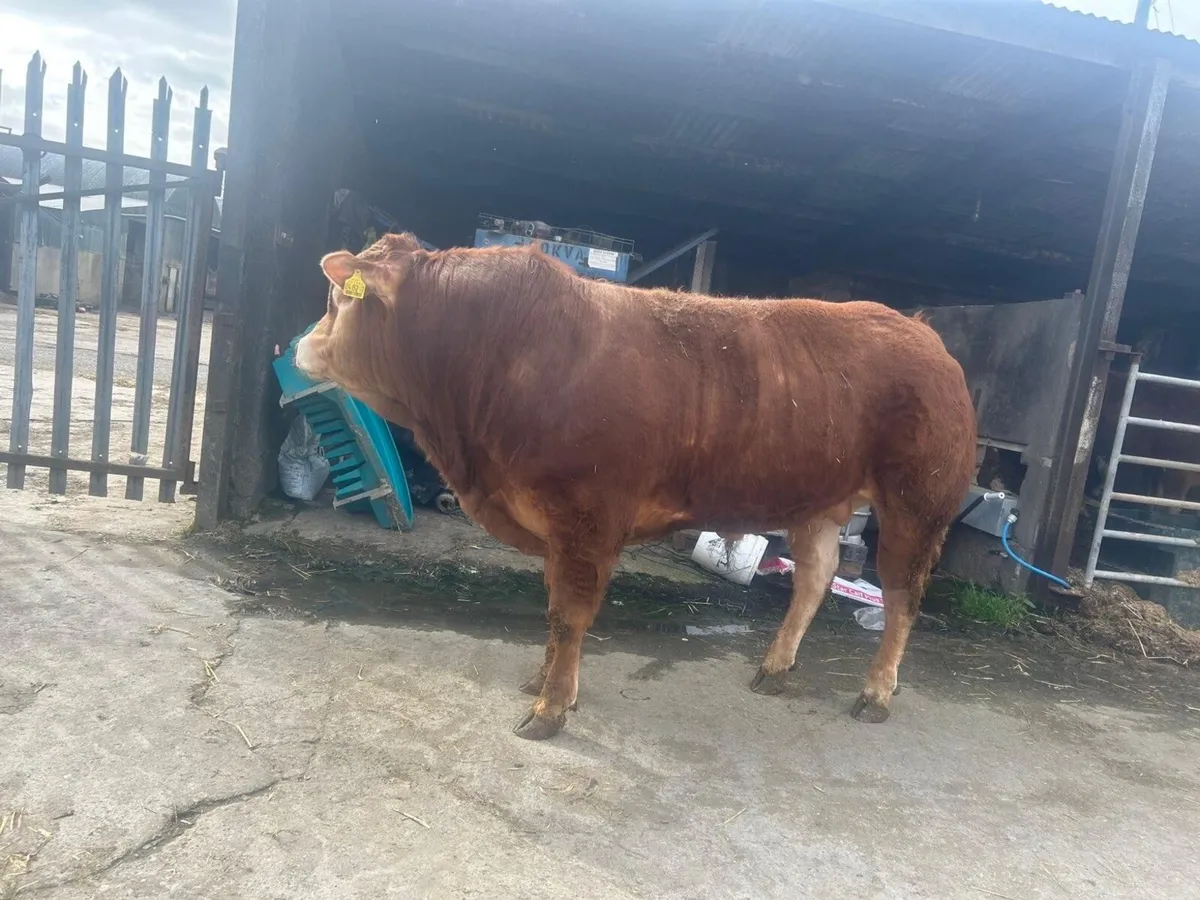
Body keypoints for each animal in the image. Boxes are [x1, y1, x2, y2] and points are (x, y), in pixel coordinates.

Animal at [294, 233, 978, 740]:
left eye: (334, 298)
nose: (298, 345)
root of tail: (922, 332)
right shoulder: (556, 524)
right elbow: (552, 608)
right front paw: (545, 684)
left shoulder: (587, 517)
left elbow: (568, 613)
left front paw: (549, 709)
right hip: (817, 500)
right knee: (814, 577)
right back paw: (774, 668)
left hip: (917, 504)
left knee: (902, 595)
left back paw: (876, 694)